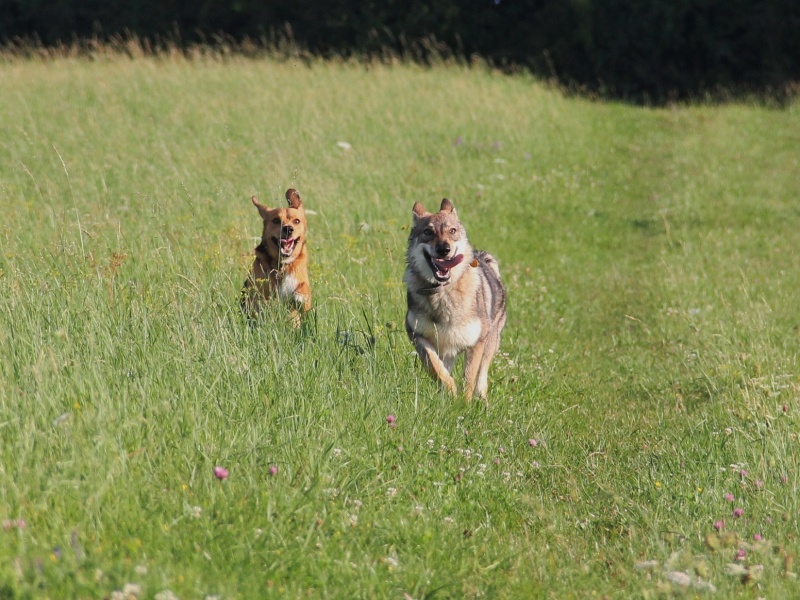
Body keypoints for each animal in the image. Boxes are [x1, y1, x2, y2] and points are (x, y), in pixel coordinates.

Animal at [242, 189, 310, 322]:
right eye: (276, 220)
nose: (288, 229)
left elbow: (305, 289)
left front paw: (300, 295)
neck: (281, 266)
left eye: (297, 221)